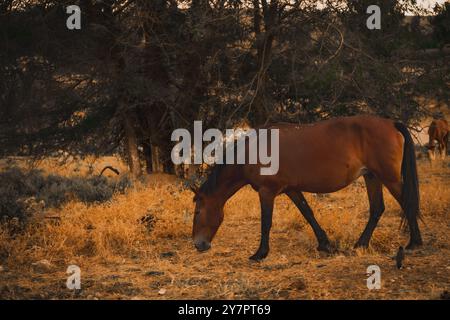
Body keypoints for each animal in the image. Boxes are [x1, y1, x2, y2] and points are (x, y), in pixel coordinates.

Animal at [190, 115, 422, 260]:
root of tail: (392, 123)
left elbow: (266, 223)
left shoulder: (267, 192)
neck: (253, 150)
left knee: (406, 203)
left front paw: (260, 254)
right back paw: (361, 244)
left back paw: (414, 243)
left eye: (198, 211)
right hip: (372, 177)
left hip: (389, 178)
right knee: (376, 209)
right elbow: (308, 213)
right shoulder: (291, 189)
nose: (198, 244)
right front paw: (325, 244)